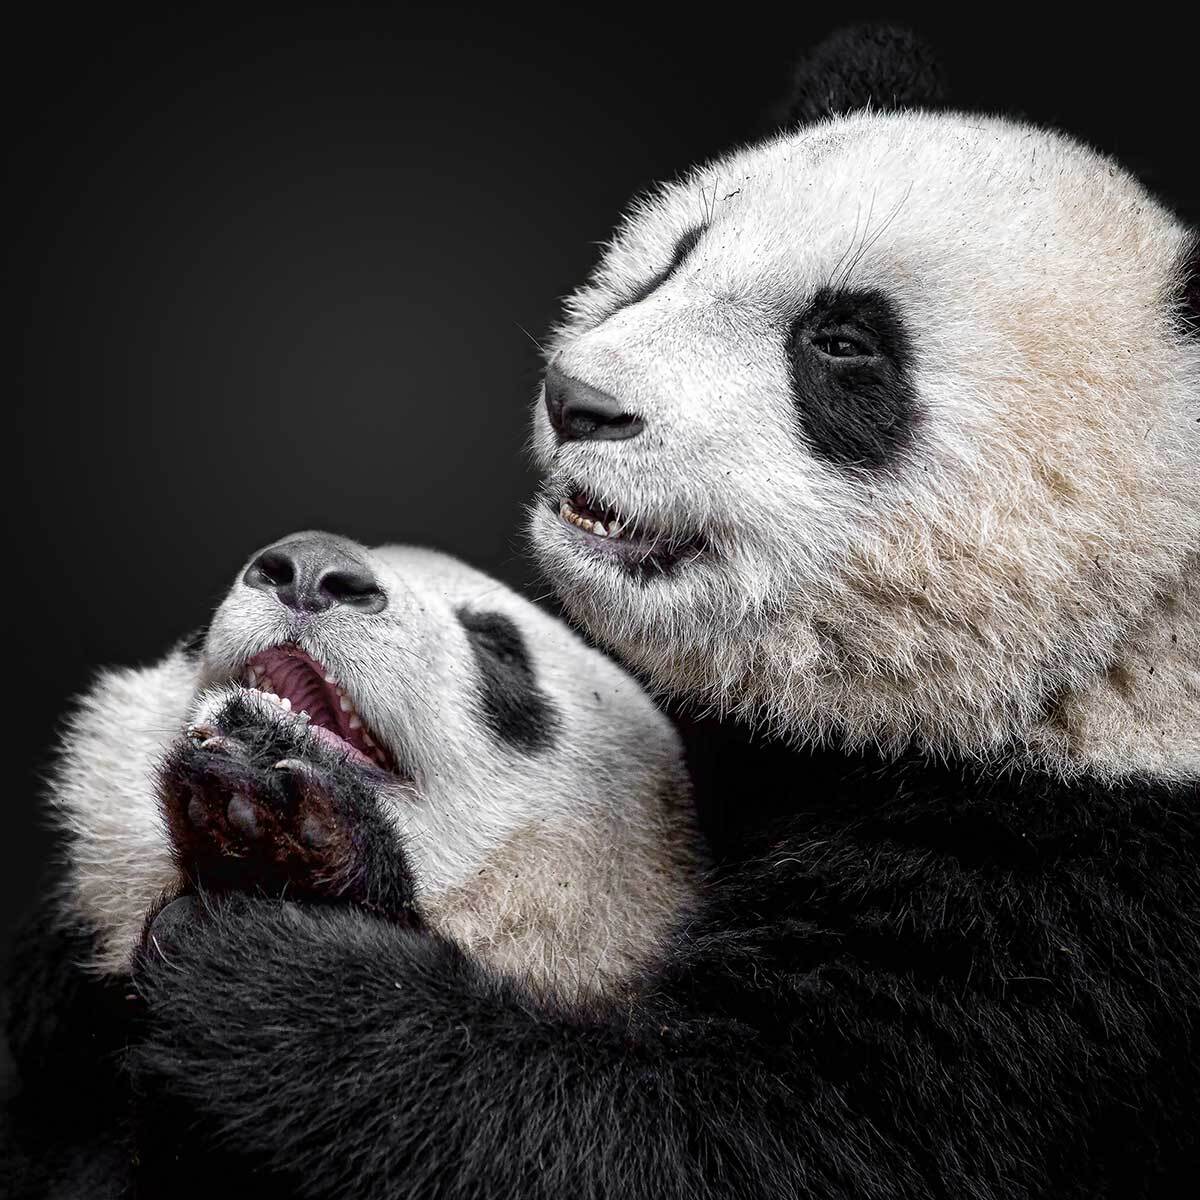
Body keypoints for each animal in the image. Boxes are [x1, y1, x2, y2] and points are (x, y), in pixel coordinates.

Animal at [16, 25, 1200, 1200]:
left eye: (844, 343)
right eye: (671, 260)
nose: (578, 401)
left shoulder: (1078, 895)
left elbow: (747, 1134)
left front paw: (278, 948)